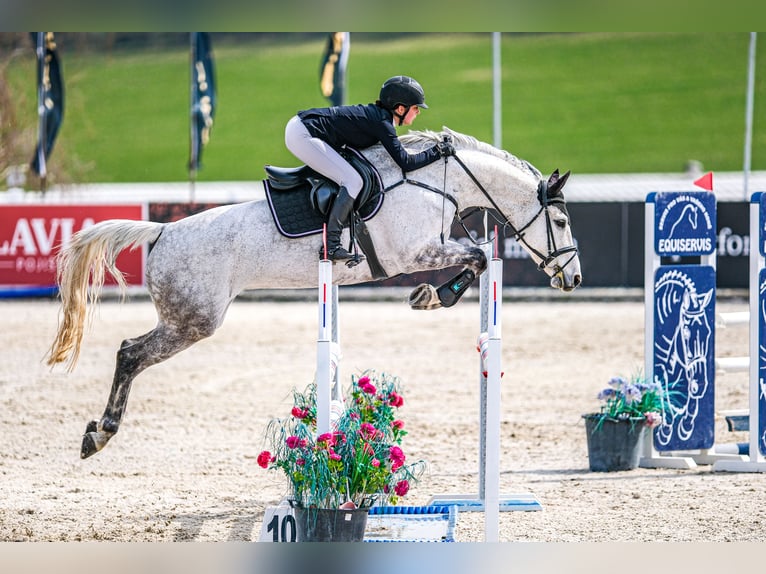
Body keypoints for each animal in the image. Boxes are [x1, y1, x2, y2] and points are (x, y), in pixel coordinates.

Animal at [45, 127, 582, 459]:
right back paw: (100, 434)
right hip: (192, 320)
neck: (436, 183)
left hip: (184, 319)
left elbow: (478, 258)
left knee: (129, 351)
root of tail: (161, 231)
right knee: (129, 353)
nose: (572, 279)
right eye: (559, 220)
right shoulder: (414, 253)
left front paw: (430, 295)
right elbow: (478, 258)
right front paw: (431, 296)